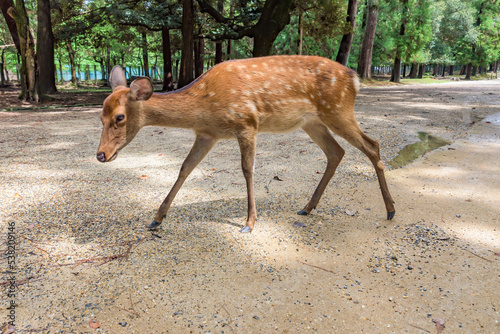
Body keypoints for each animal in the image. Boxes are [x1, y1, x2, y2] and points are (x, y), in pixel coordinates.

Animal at [96, 55, 394, 232]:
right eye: (100, 115)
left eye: (120, 117)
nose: (101, 155)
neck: (204, 104)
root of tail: (355, 78)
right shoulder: (207, 134)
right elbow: (185, 168)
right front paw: (156, 219)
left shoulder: (247, 123)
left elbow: (247, 169)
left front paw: (249, 222)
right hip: (312, 122)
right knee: (336, 152)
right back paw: (307, 207)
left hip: (338, 110)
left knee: (372, 145)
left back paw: (390, 210)